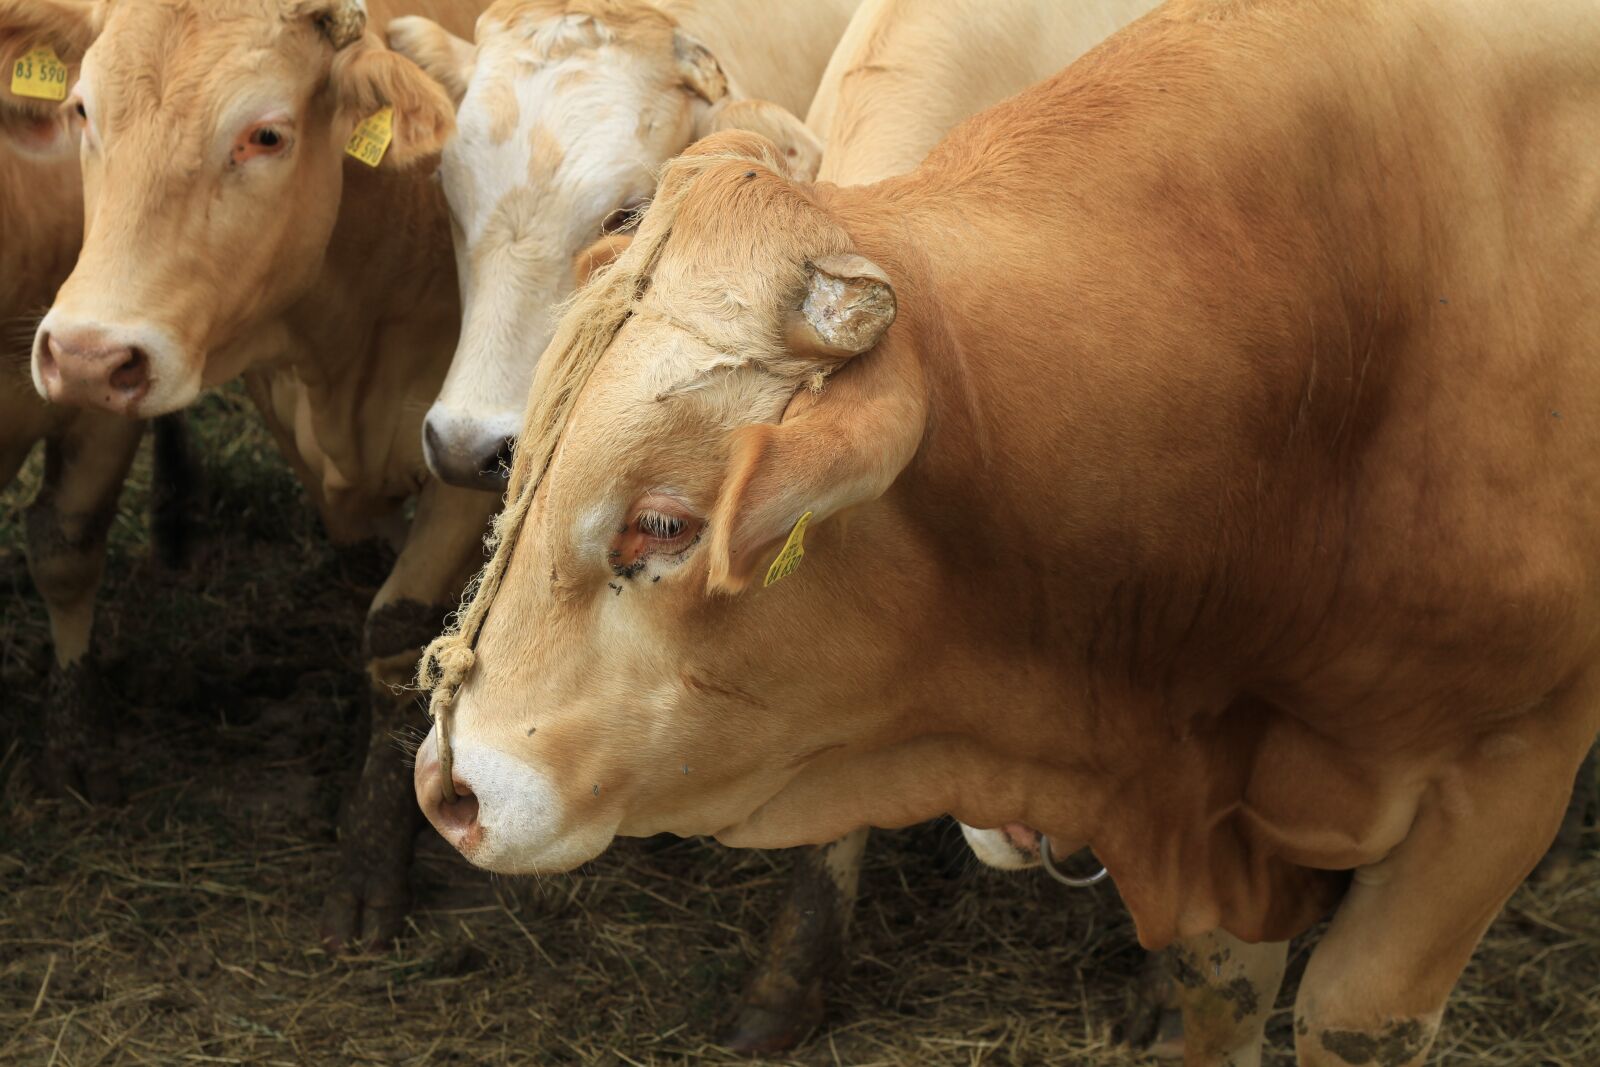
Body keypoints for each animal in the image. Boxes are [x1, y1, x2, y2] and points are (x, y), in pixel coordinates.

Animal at [26, 0, 499, 952]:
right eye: (84, 110)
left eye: (266, 135)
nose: (89, 357)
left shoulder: (476, 450)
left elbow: (399, 632)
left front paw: (373, 856)